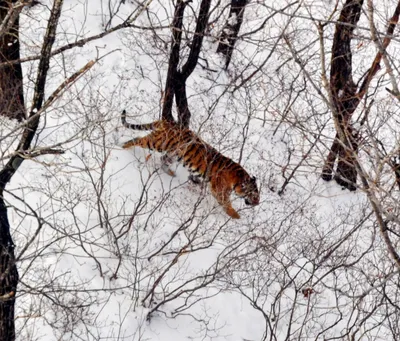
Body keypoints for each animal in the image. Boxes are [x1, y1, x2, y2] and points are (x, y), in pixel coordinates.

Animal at [120, 110, 260, 219]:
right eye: (254, 194)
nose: (258, 203)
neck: (238, 180)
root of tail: (168, 122)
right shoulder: (220, 191)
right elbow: (226, 203)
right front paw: (236, 216)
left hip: (173, 153)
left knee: (162, 159)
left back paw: (171, 173)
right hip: (157, 143)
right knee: (138, 139)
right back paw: (121, 146)